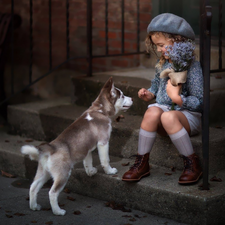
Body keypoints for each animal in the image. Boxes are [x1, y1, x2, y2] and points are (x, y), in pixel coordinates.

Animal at [20, 78, 133, 216]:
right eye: (122, 96)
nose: (132, 98)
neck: (99, 110)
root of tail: (51, 147)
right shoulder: (103, 142)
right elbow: (105, 160)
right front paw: (110, 171)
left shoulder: (87, 148)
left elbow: (87, 162)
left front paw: (91, 172)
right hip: (63, 174)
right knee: (52, 193)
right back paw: (58, 211)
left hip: (44, 172)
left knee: (33, 187)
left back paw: (34, 206)